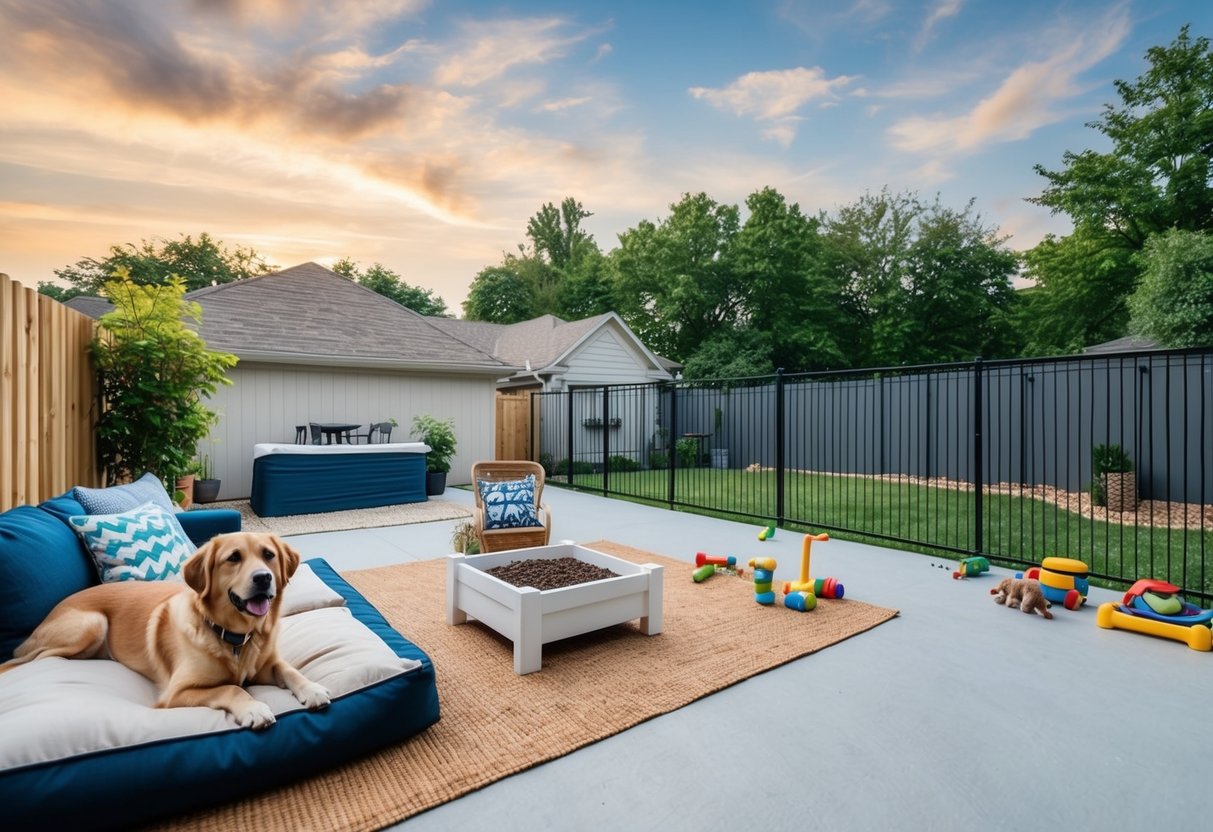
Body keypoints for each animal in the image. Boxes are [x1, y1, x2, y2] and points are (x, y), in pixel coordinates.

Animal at [0, 533, 332, 727]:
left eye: (268, 555)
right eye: (234, 558)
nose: (263, 578)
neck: (235, 638)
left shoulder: (266, 663)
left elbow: (288, 669)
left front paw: (312, 688)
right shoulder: (176, 693)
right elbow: (231, 688)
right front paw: (254, 709)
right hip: (91, 625)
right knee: (33, 659)